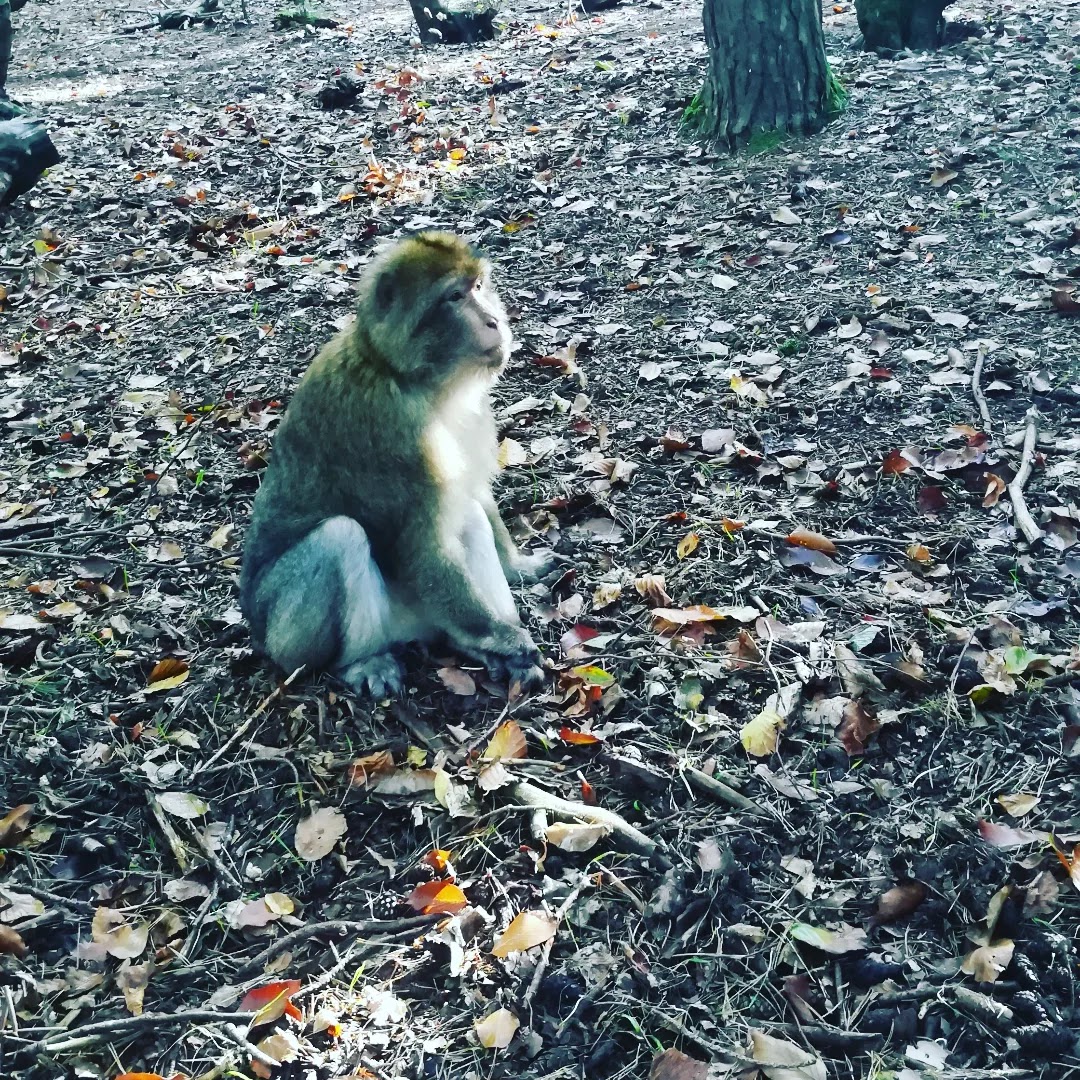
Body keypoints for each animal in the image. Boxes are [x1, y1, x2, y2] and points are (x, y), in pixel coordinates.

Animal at [240, 231, 556, 698]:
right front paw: (500, 636)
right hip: (287, 638)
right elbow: (418, 545)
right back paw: (364, 661)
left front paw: (519, 570)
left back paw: (469, 646)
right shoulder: (390, 431)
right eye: (455, 297)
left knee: (465, 513)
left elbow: (475, 494)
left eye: (478, 287)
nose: (494, 321)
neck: (411, 378)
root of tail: (255, 633)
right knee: (340, 536)